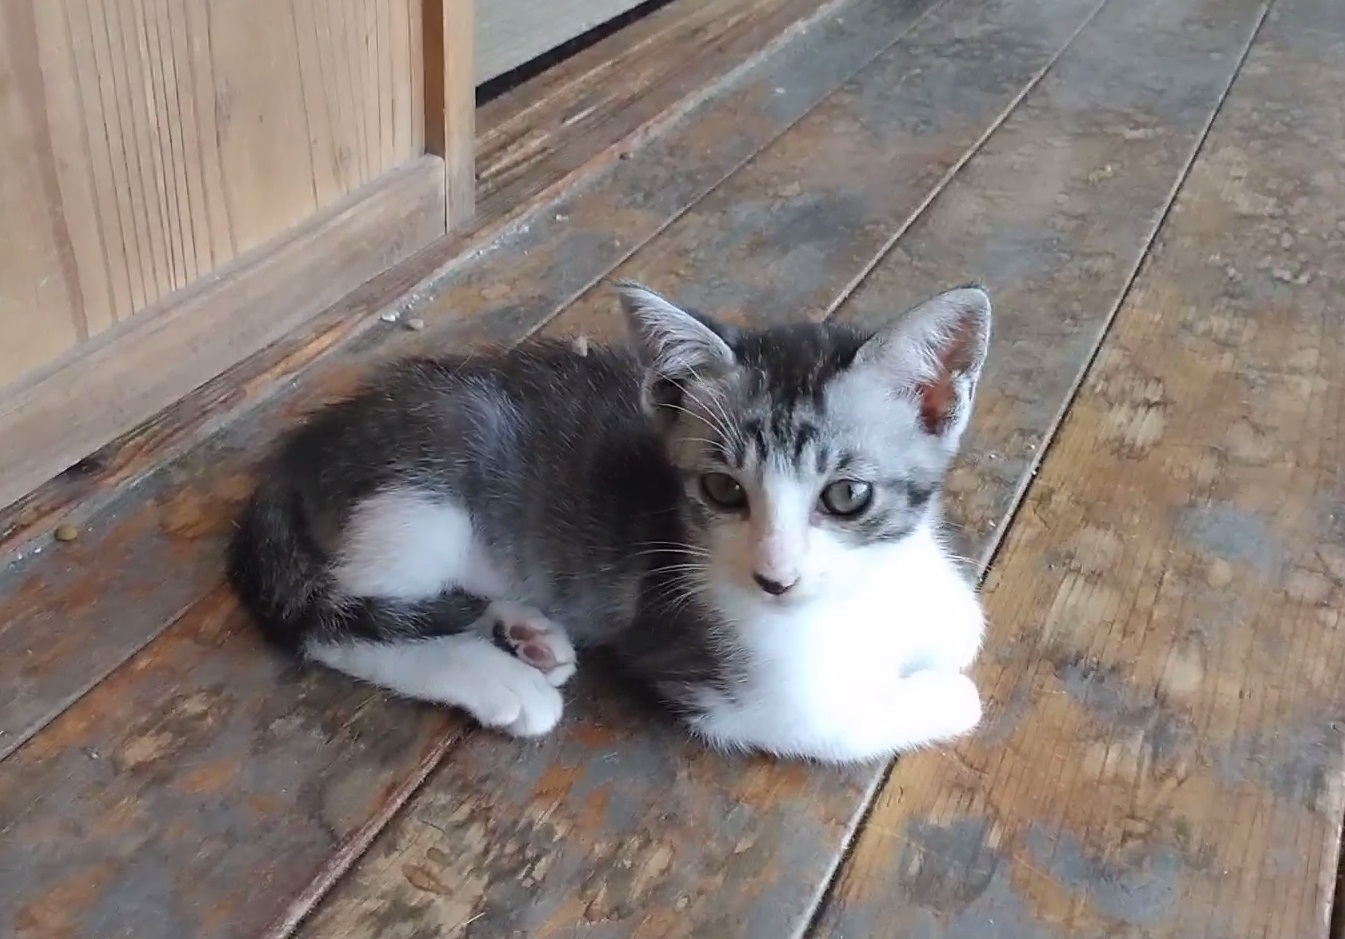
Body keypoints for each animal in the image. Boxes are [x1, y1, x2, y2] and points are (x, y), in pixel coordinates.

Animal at [226, 281, 991, 763]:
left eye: (846, 496)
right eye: (722, 489)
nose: (774, 579)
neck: (858, 597)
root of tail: (296, 452)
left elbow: (964, 625)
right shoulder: (709, 677)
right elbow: (839, 718)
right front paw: (945, 694)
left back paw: (526, 631)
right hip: (424, 497)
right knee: (334, 620)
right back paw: (499, 679)